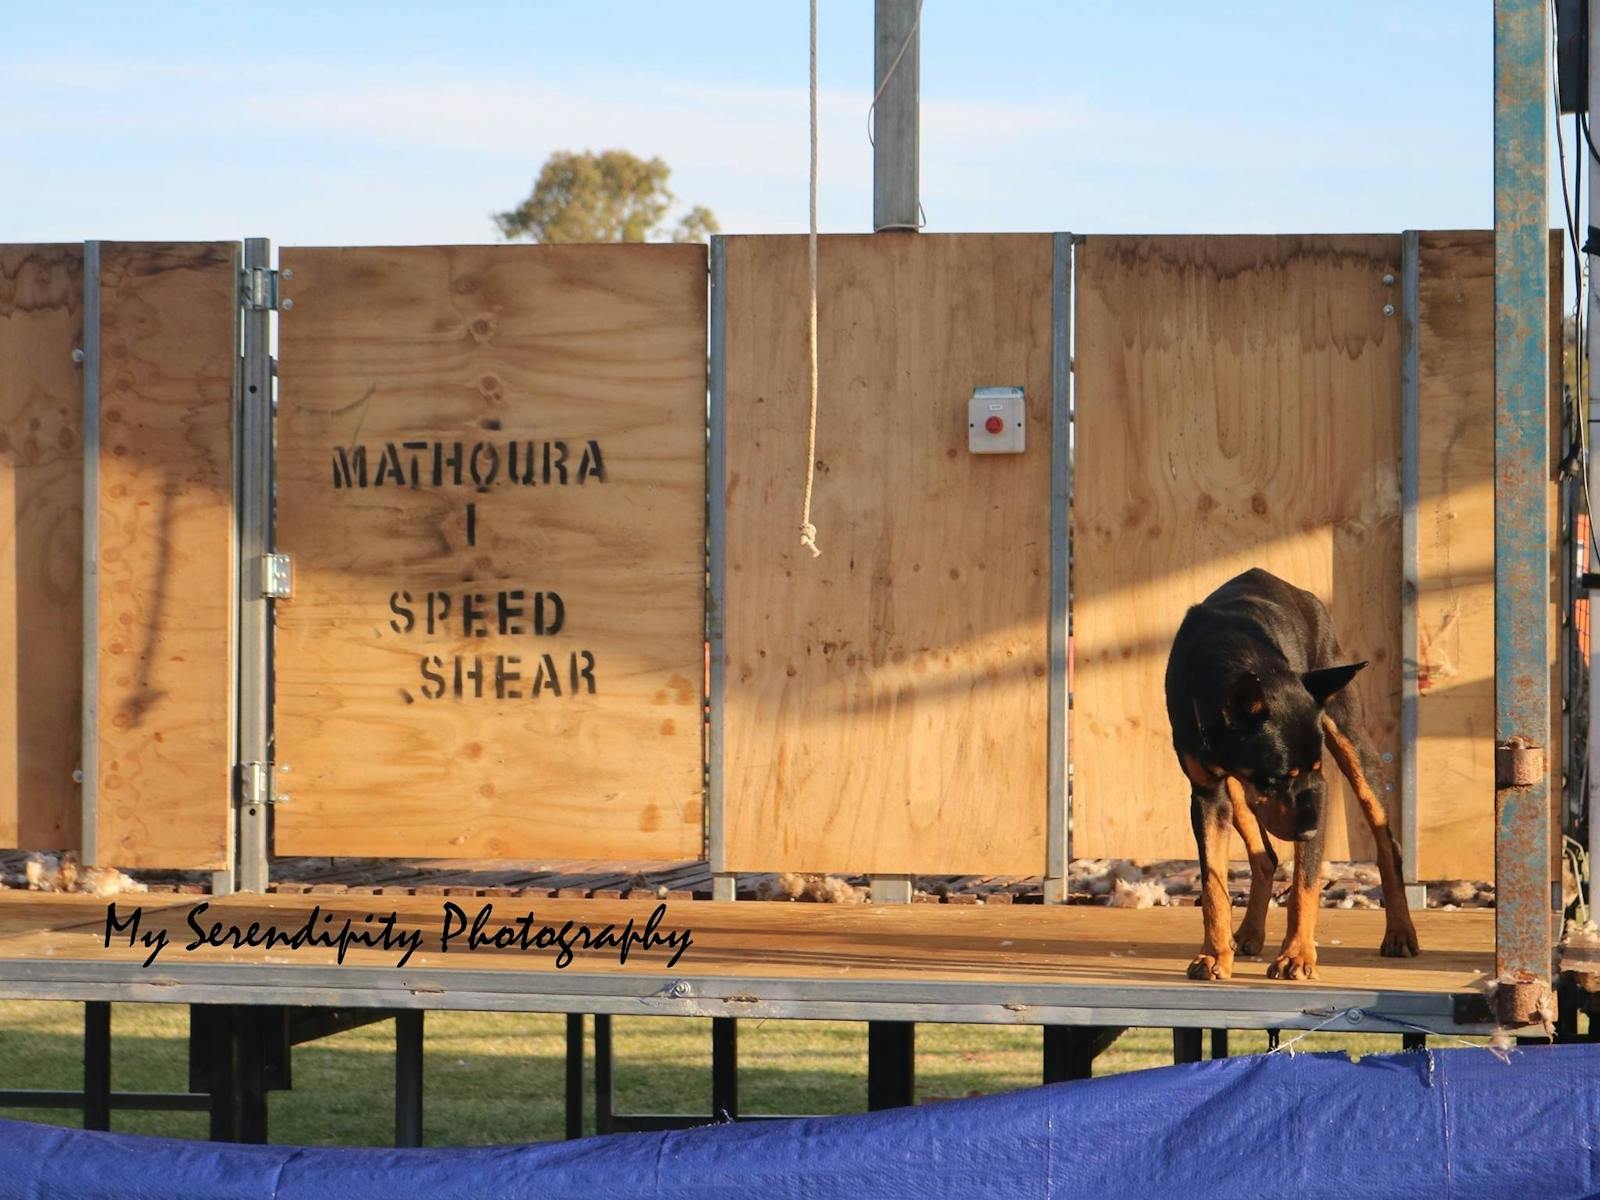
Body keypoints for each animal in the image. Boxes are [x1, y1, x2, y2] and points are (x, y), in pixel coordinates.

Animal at [1164, 569, 1414, 979]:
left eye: (1310, 770)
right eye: (1277, 776)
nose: (1311, 832)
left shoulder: (1317, 790)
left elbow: (1304, 884)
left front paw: (1297, 956)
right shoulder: (1207, 793)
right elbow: (1214, 884)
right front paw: (1215, 956)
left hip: (1353, 744)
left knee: (1386, 845)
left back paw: (1400, 933)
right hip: (1239, 794)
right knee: (1264, 855)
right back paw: (1247, 934)